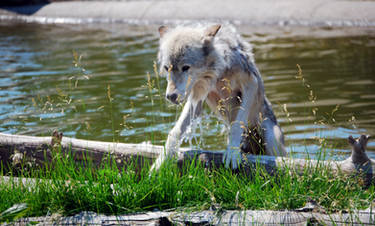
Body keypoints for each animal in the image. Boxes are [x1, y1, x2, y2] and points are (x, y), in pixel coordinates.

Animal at [151, 23, 286, 170]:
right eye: (166, 68)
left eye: (185, 67)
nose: (170, 96)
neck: (218, 74)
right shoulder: (197, 99)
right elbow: (175, 131)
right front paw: (161, 160)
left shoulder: (251, 84)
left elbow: (236, 125)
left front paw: (232, 152)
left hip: (272, 139)